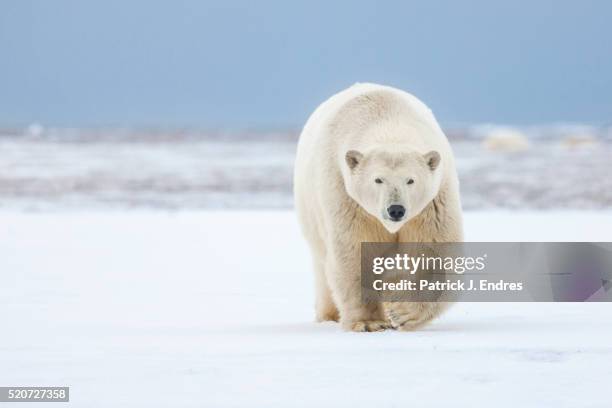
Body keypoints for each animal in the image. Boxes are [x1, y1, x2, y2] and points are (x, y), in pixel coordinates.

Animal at [294, 83, 462, 332]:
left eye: (410, 180)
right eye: (378, 179)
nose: (396, 210)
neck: (386, 119)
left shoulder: (433, 202)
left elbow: (433, 251)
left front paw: (403, 313)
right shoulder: (346, 196)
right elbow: (356, 251)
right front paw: (369, 322)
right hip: (312, 213)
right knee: (323, 266)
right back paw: (329, 315)